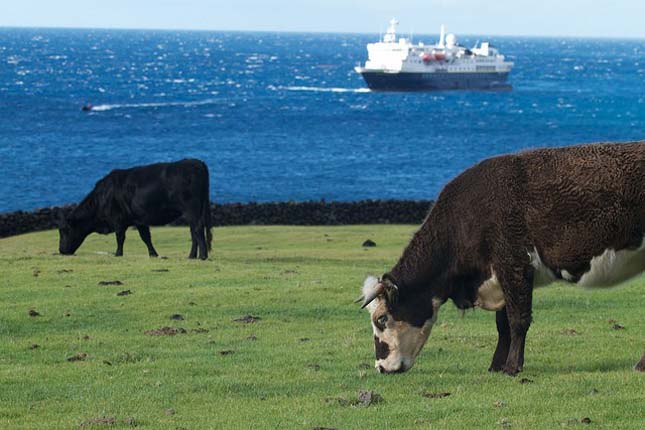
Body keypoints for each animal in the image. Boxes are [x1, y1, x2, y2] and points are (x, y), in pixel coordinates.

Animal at [58, 158, 213, 258]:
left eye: (64, 230)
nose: (61, 250)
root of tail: (197, 163)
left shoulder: (118, 219)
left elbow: (120, 237)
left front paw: (118, 254)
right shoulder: (139, 220)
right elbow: (146, 237)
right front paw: (153, 254)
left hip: (191, 210)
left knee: (197, 229)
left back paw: (202, 256)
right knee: (193, 231)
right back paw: (192, 256)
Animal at [358, 142, 644, 376]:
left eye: (381, 318)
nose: (381, 367)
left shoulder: (514, 264)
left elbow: (518, 320)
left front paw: (512, 367)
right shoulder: (499, 273)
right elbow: (502, 324)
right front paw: (496, 365)